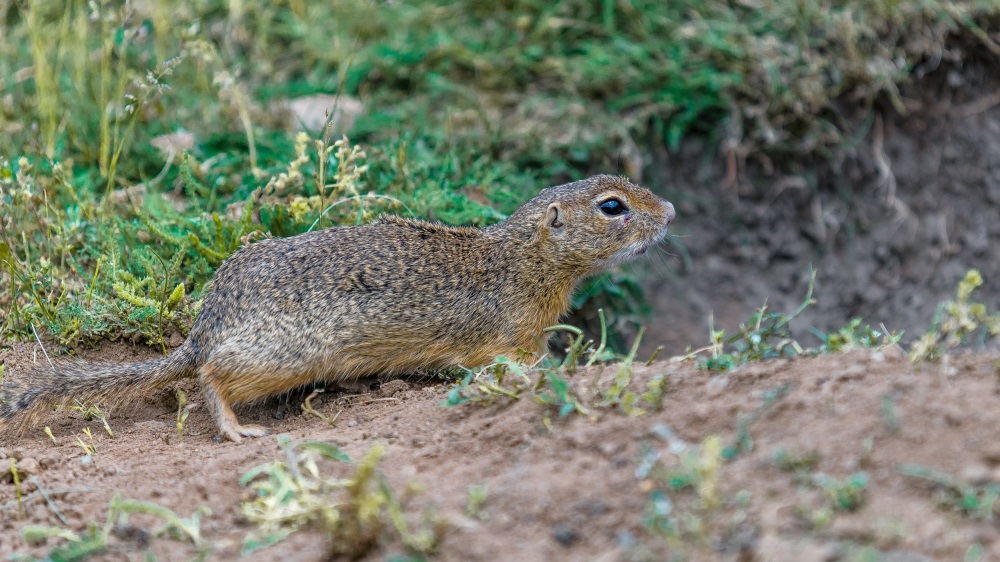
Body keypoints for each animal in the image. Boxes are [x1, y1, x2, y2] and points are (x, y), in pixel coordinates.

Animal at [0, 175, 676, 442]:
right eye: (612, 207)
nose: (670, 211)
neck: (519, 261)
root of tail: (203, 328)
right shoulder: (512, 340)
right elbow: (520, 367)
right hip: (280, 356)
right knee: (210, 377)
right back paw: (236, 429)